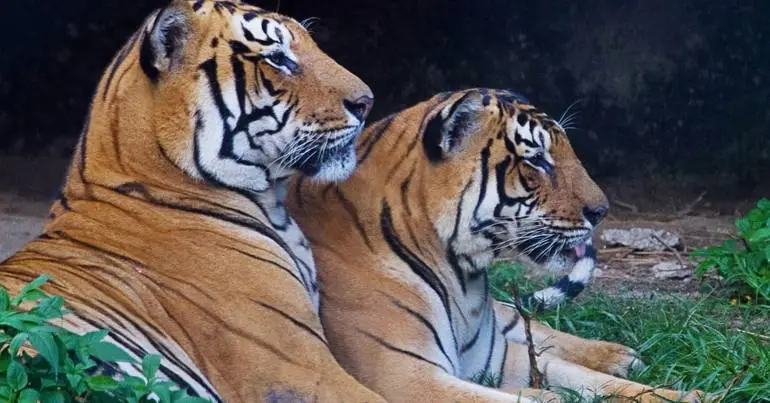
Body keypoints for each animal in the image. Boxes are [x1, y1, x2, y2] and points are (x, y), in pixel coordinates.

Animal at [288, 88, 710, 402]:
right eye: (537, 160)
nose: (601, 211)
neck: (462, 277)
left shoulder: (497, 357)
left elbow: (590, 380)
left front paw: (693, 396)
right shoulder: (406, 376)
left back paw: (618, 355)